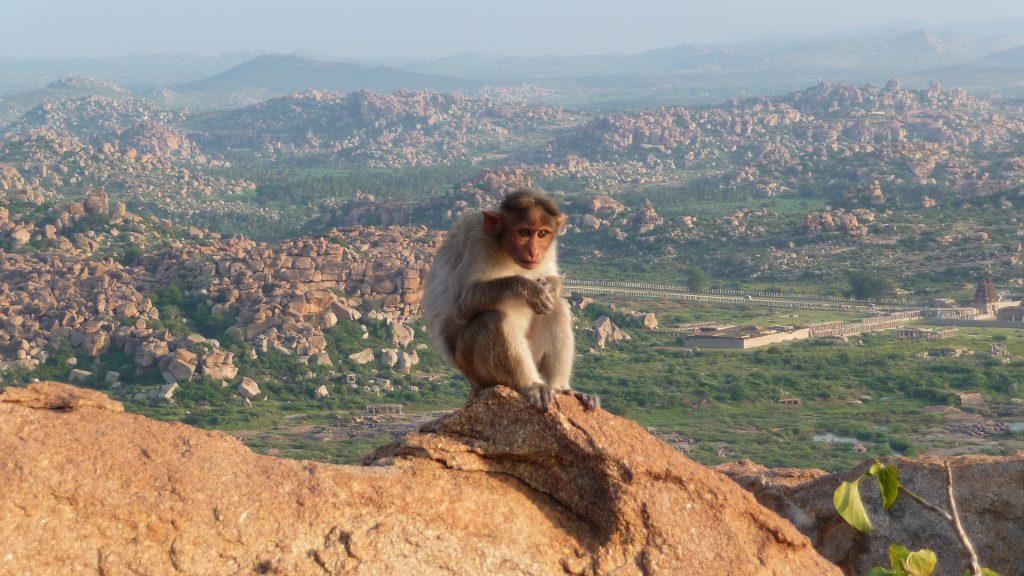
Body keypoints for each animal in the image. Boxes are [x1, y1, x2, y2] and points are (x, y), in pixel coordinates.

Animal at [423, 186, 598, 409]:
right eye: (524, 233)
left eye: (542, 233)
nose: (534, 251)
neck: (504, 249)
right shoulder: (477, 239)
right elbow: (461, 304)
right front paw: (528, 289)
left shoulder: (549, 249)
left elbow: (550, 278)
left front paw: (550, 286)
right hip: (474, 367)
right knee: (493, 319)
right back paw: (530, 384)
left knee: (556, 309)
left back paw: (561, 388)